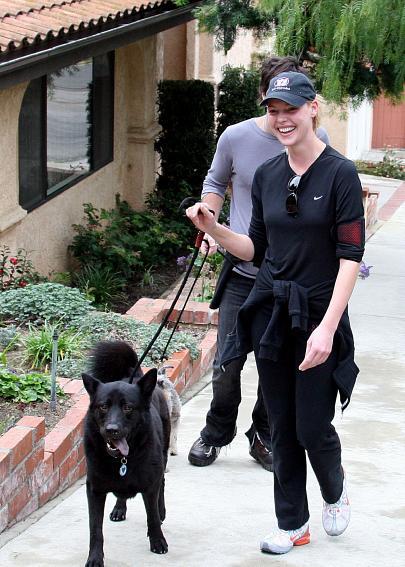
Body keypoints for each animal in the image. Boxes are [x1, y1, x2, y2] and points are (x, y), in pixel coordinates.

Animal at [82, 340, 170, 564]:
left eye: (128, 407)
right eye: (103, 406)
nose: (112, 430)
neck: (121, 460)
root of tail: (136, 377)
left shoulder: (150, 484)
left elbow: (152, 517)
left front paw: (157, 541)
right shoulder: (94, 490)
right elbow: (95, 529)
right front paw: (95, 558)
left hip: (164, 454)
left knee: (163, 484)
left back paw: (162, 510)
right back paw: (119, 508)